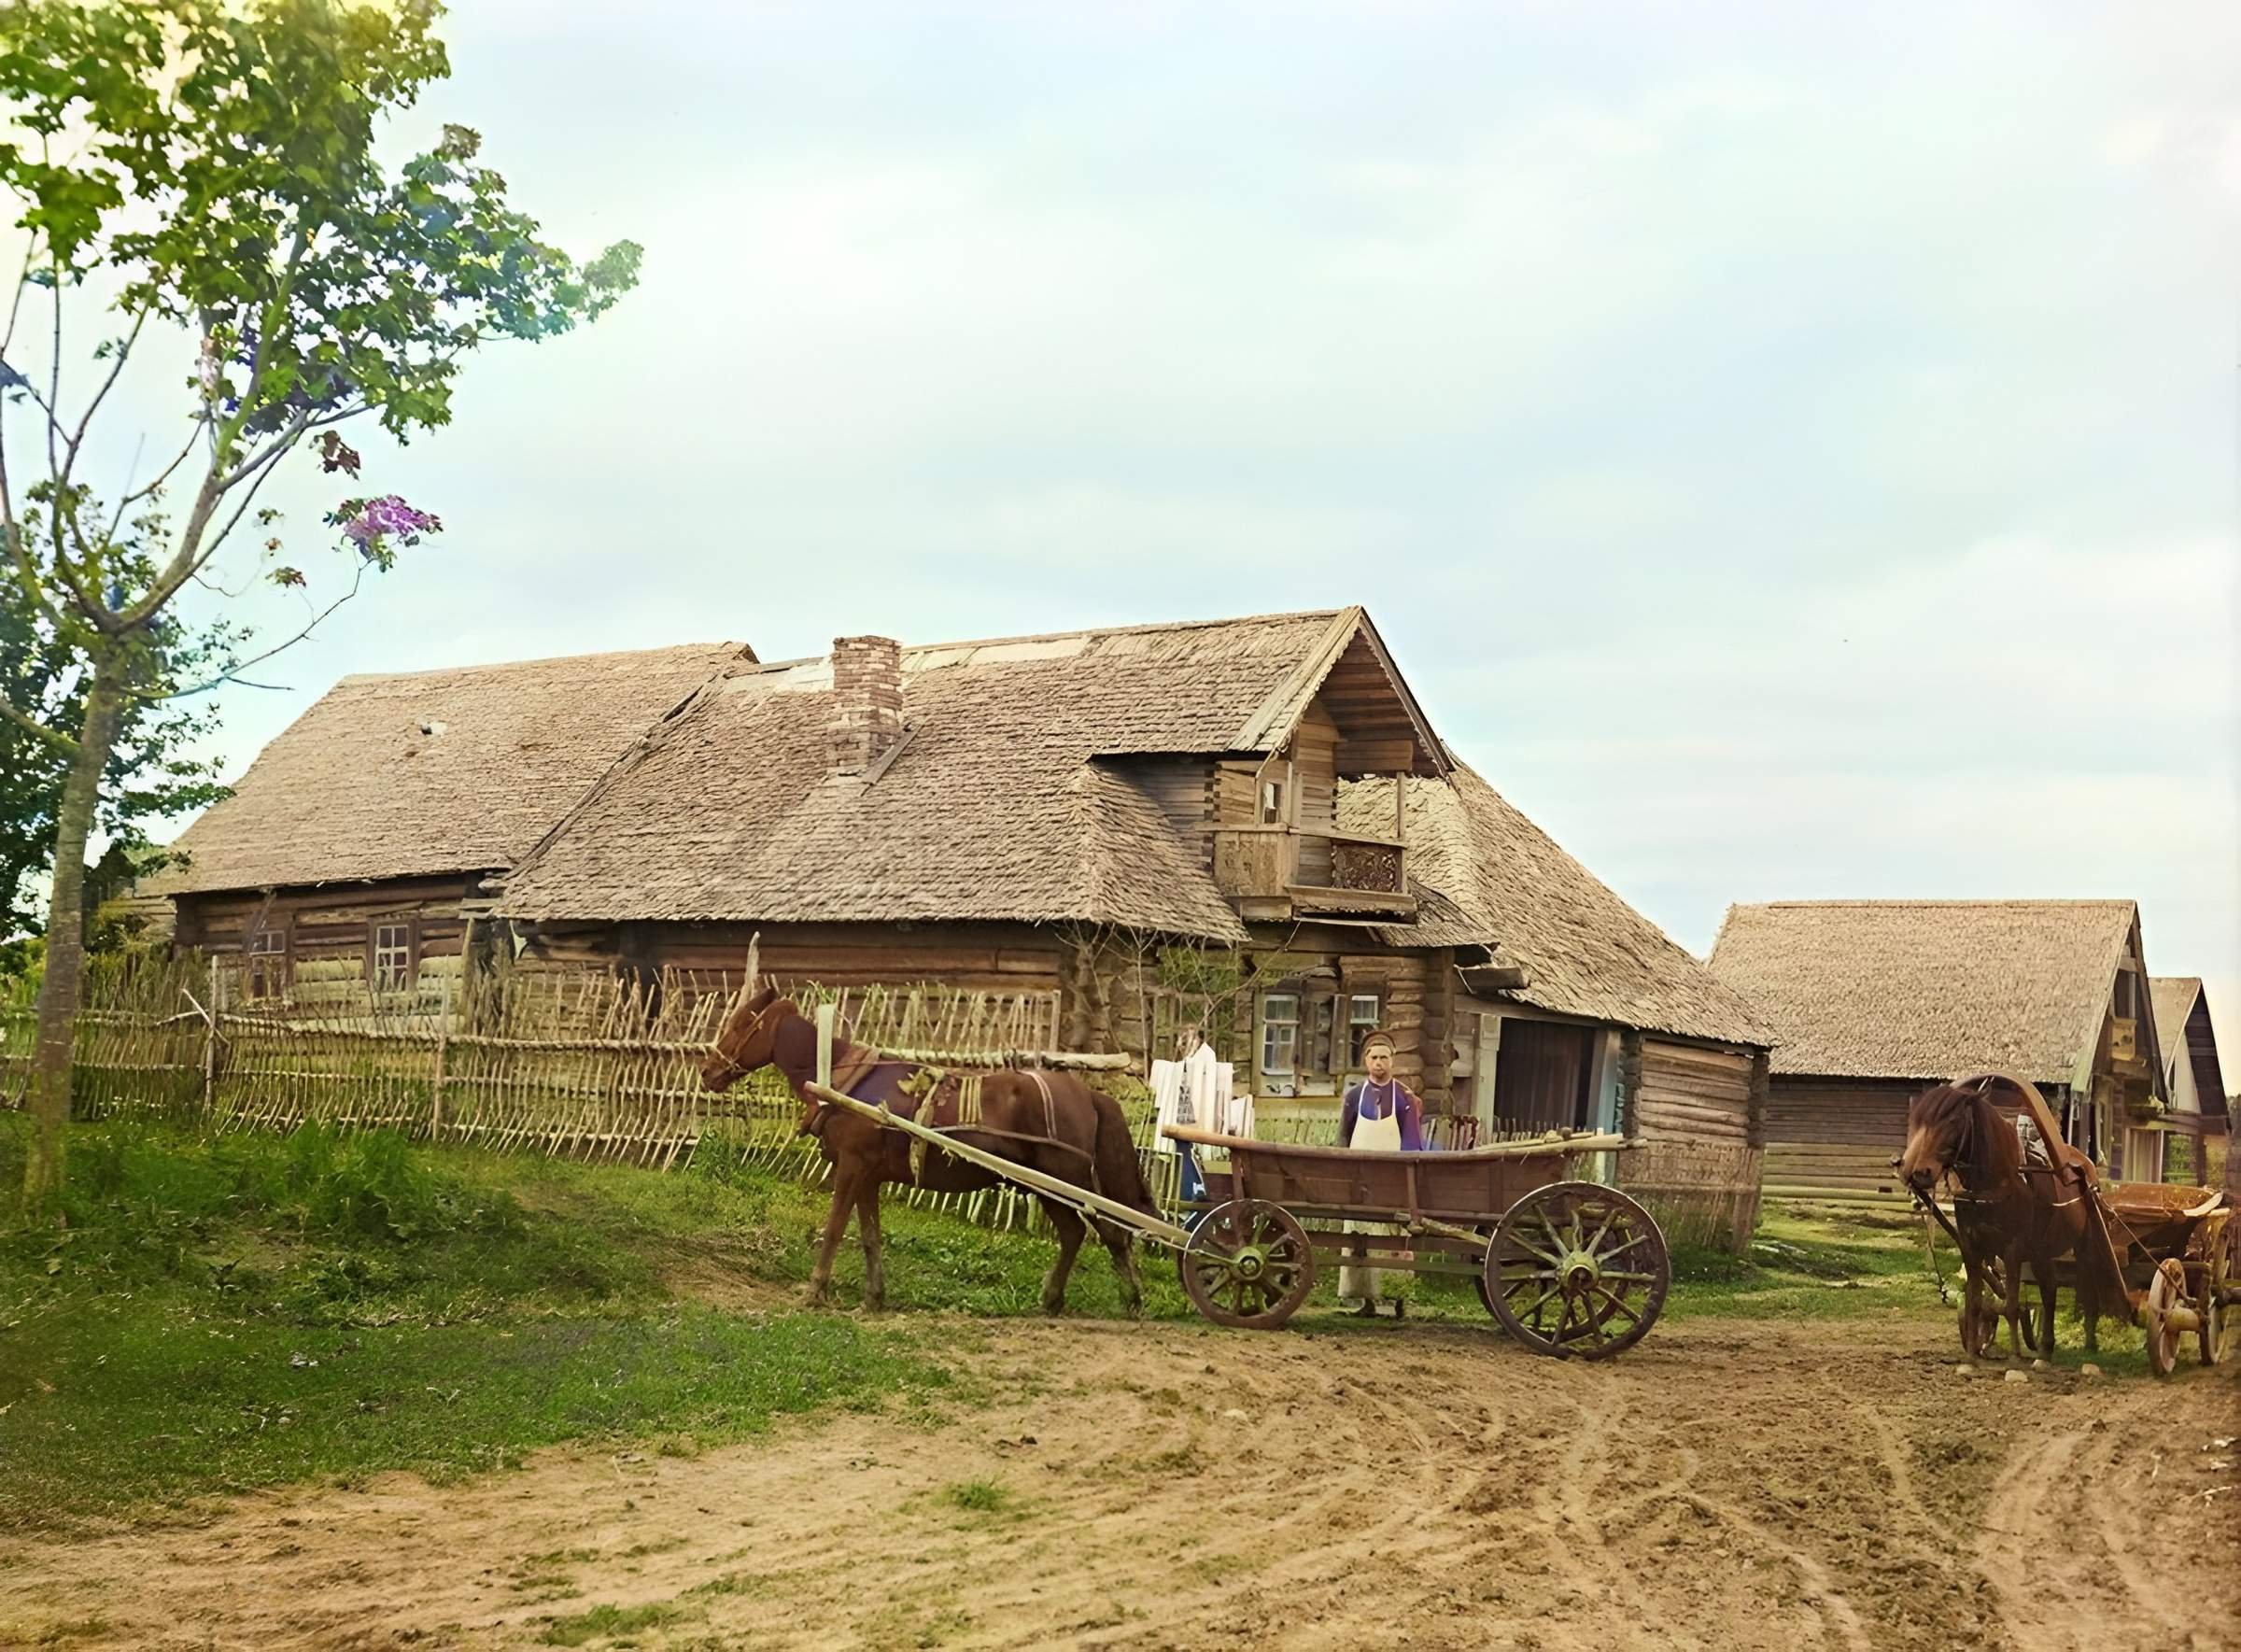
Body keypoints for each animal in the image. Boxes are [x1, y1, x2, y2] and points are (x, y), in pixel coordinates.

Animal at [698, 977, 1156, 1318]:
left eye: (740, 1024)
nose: (707, 1071)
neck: (842, 1078)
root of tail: (1088, 1093)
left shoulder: (850, 1167)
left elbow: (834, 1229)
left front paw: (815, 1291)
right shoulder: (867, 1175)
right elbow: (870, 1236)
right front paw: (874, 1296)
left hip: (1068, 1180)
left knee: (1109, 1232)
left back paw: (1128, 1298)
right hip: (1049, 1186)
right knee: (1077, 1233)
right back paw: (1057, 1299)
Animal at [1900, 1076, 2107, 1363]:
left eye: (1953, 1121)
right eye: (1919, 1122)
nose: (1920, 1172)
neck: (1994, 1182)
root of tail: (2083, 1162)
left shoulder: (2012, 1250)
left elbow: (2011, 1305)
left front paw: (2015, 1356)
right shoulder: (1972, 1248)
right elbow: (1976, 1302)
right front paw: (1973, 1354)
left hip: (2084, 1246)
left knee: (2087, 1290)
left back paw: (2088, 1341)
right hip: (2042, 1252)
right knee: (2050, 1288)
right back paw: (2045, 1349)